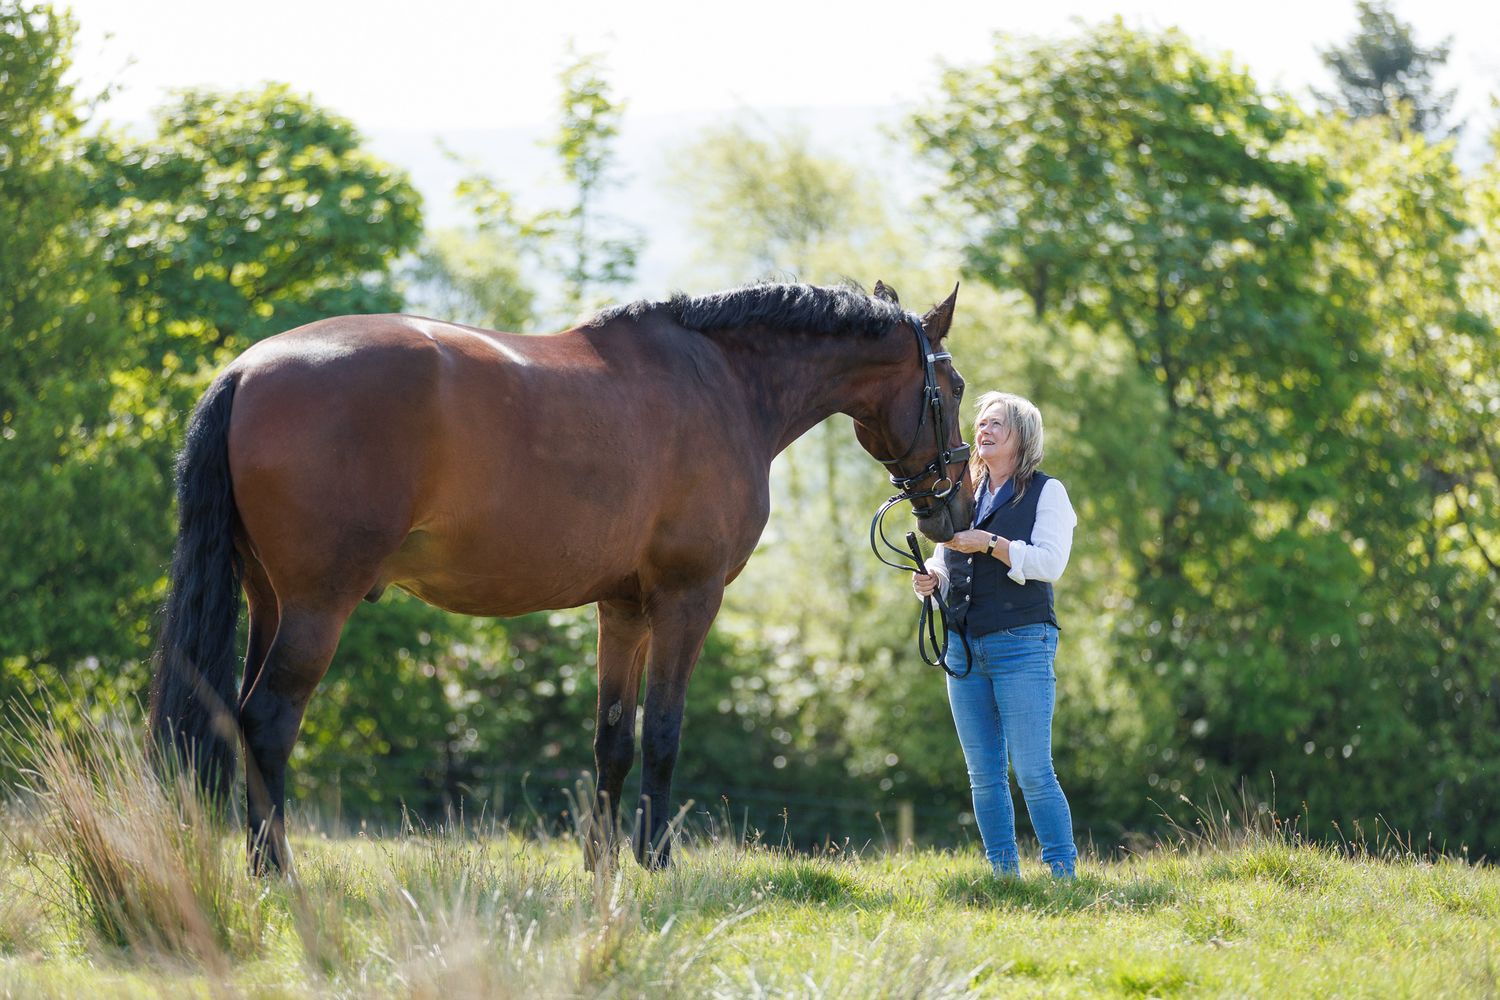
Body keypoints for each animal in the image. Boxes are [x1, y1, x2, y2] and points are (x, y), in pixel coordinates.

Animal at [147, 279, 973, 874]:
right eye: (956, 386)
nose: (953, 505)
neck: (724, 384)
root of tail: (246, 370)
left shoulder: (625, 607)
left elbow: (613, 738)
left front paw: (599, 866)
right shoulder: (688, 597)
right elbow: (664, 732)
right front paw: (656, 863)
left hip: (269, 603)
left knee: (234, 719)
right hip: (318, 607)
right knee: (267, 723)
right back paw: (275, 871)